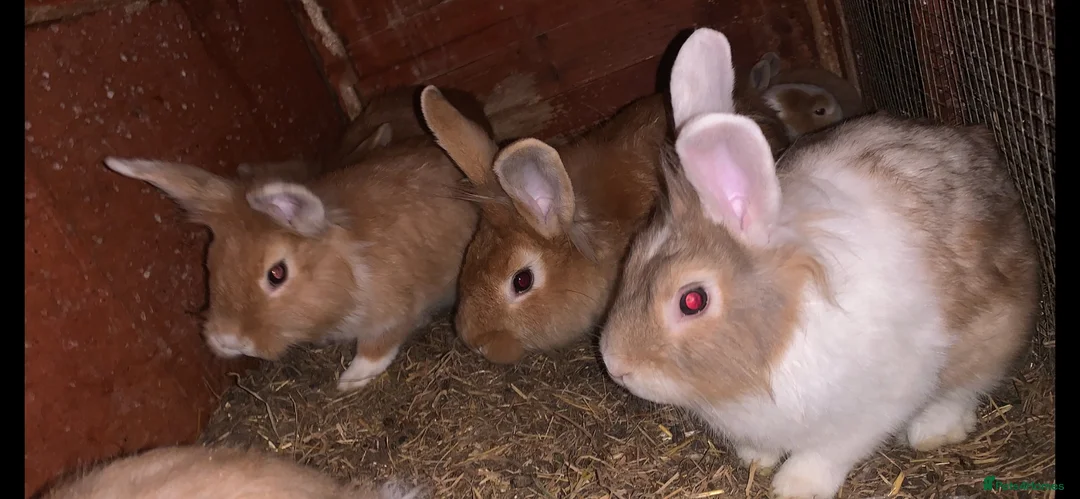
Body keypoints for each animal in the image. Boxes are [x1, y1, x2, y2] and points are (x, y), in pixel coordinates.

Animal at [102, 132, 480, 392]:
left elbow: (377, 347)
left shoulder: (393, 313)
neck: (350, 266)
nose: (228, 340)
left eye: (277, 273)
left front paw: (350, 380)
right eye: (211, 261)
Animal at [599, 27, 1039, 499]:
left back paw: (932, 429)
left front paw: (795, 485)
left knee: (969, 384)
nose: (616, 365)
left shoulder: (878, 401)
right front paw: (755, 459)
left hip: (993, 328)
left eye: (692, 301)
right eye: (632, 257)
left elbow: (829, 451)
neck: (779, 333)